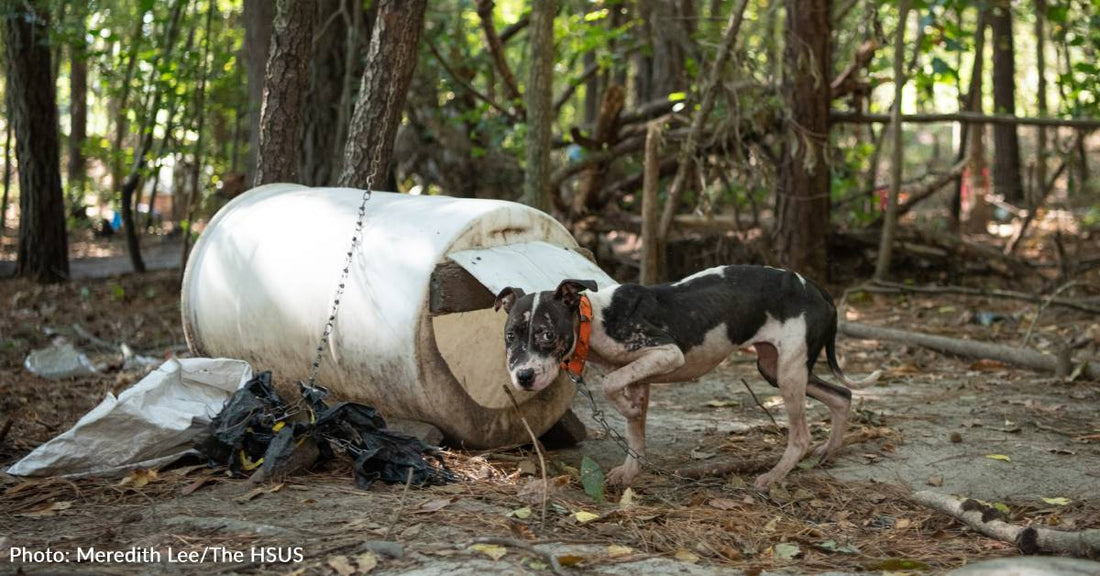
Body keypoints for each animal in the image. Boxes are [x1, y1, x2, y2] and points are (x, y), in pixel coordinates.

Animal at [495, 264, 880, 485]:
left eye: (547, 335)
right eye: (510, 336)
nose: (523, 377)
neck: (597, 320)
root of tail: (818, 290)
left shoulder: (667, 353)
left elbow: (610, 385)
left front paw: (626, 409)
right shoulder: (642, 376)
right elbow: (635, 433)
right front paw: (630, 472)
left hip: (788, 374)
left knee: (801, 436)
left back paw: (772, 477)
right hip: (776, 369)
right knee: (843, 397)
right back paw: (828, 452)